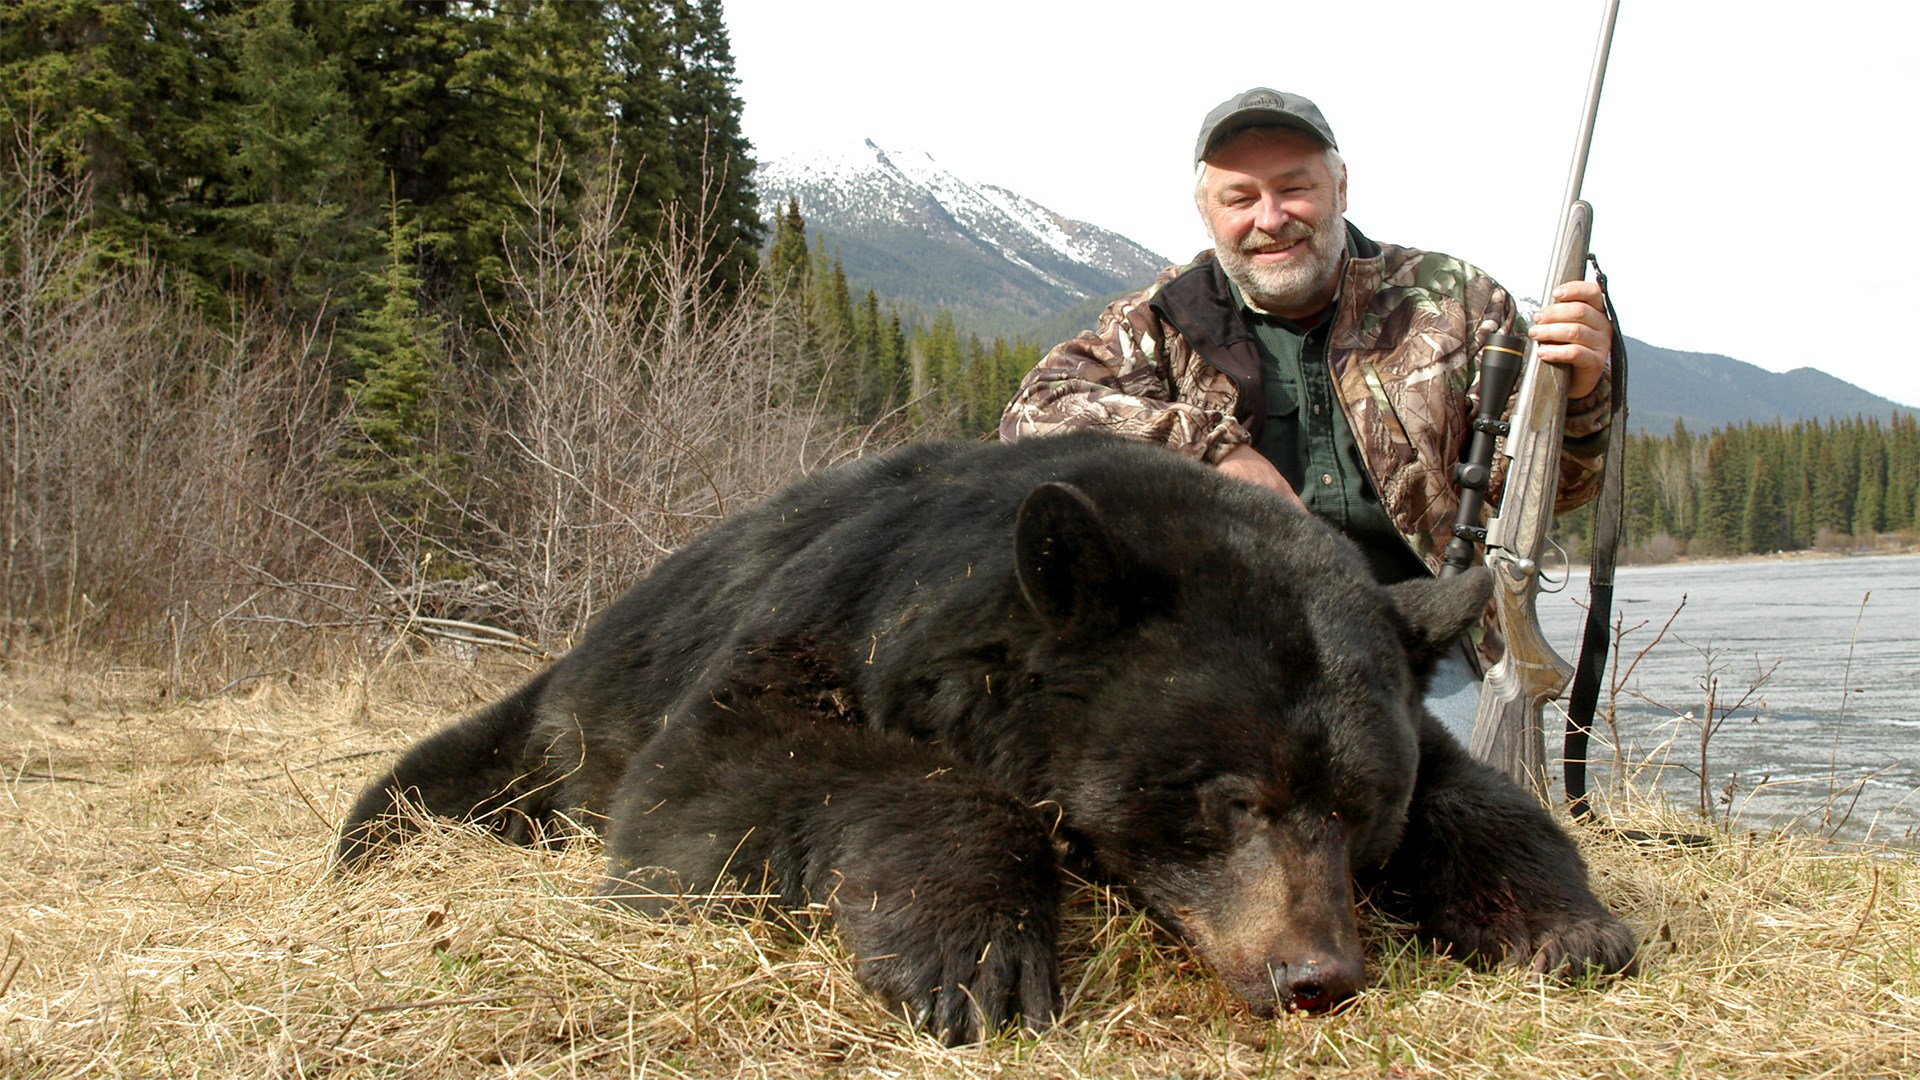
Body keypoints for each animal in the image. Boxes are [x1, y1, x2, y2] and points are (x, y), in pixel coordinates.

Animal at [337, 431, 1636, 1044]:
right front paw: (979, 961)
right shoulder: (841, 619)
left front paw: (1571, 925)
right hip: (558, 717)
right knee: (434, 781)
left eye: (1361, 812)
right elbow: (711, 782)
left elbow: (1479, 794)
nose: (1317, 974)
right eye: (1229, 798)